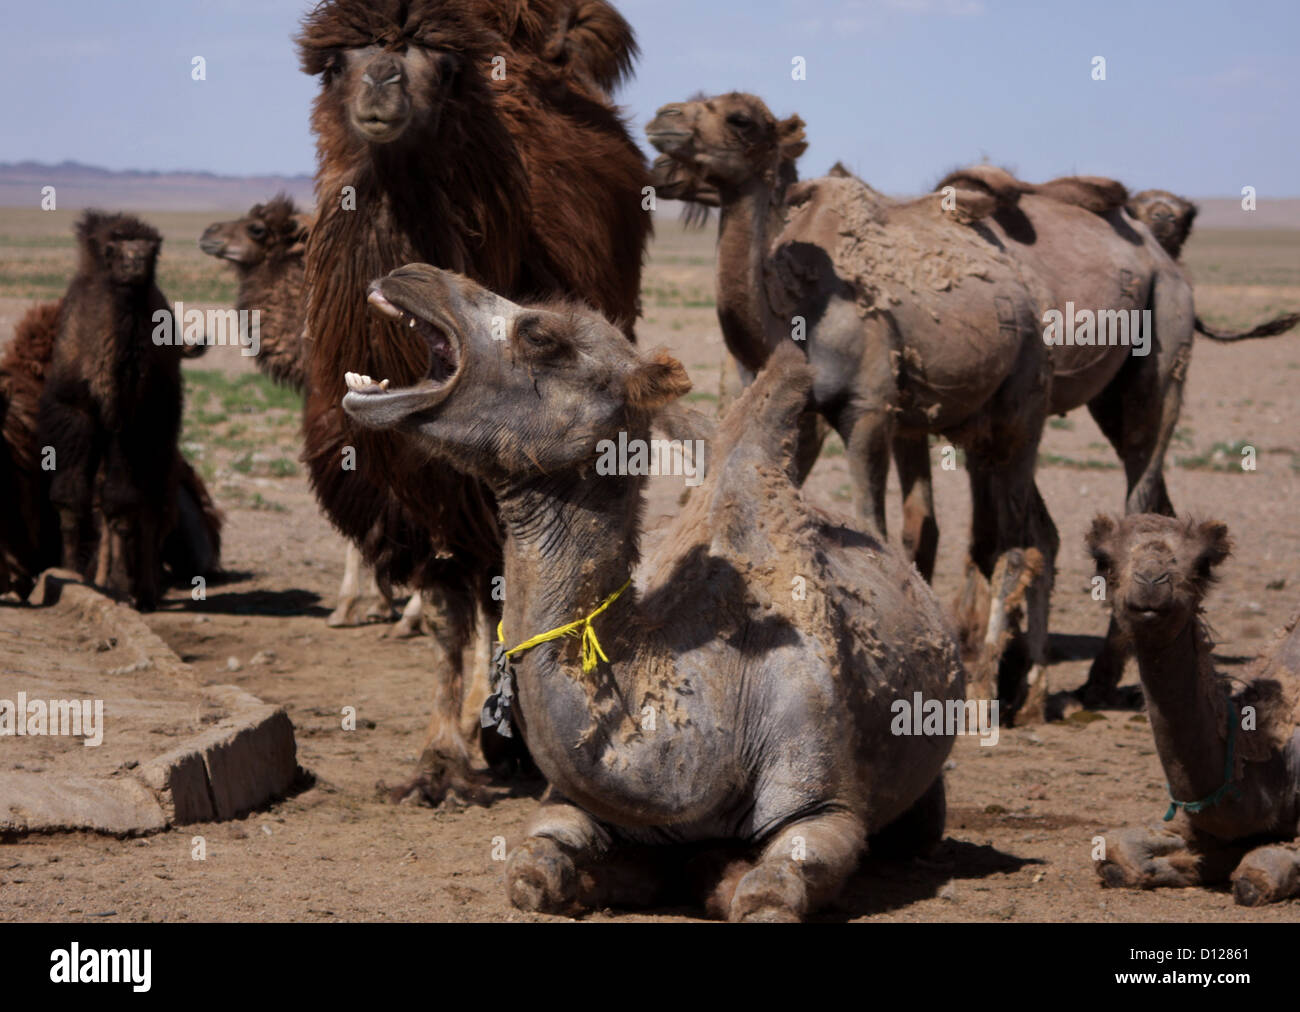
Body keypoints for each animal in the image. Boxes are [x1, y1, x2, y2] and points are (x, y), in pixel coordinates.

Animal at [300, 1, 655, 806]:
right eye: (337, 63)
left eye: (443, 64)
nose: (382, 85)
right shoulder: (407, 493)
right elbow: (444, 614)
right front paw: (438, 761)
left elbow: (507, 597)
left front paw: (507, 741)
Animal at [340, 264, 972, 920]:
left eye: (541, 335)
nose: (412, 275)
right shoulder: (569, 800)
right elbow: (530, 873)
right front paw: (616, 877)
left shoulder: (825, 803)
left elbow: (767, 891)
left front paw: (715, 873)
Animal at [644, 92, 1060, 718]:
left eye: (740, 120)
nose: (660, 122)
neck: (795, 316)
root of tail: (1027, 298)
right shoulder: (799, 414)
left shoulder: (867, 411)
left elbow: (872, 522)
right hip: (979, 423)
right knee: (1033, 533)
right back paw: (1028, 691)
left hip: (1023, 400)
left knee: (1013, 542)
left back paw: (990, 688)